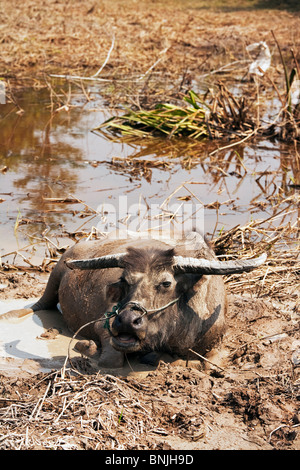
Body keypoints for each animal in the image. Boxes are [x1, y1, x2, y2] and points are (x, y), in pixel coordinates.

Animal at [2, 231, 266, 368]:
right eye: (125, 280)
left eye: (166, 283)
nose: (127, 320)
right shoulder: (104, 326)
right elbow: (111, 358)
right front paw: (85, 345)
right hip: (55, 274)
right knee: (38, 305)